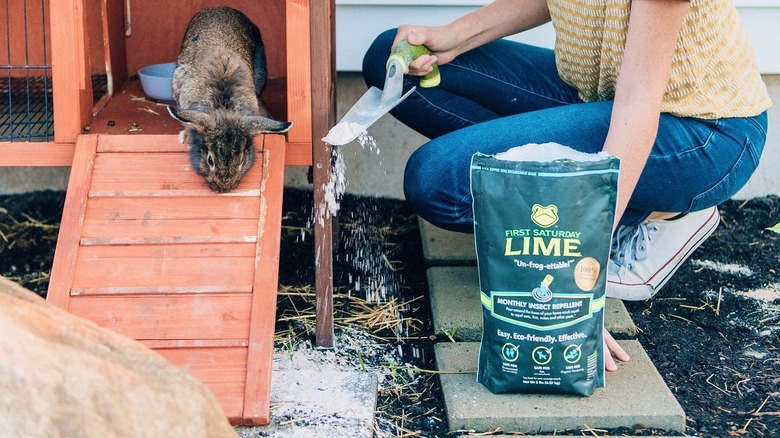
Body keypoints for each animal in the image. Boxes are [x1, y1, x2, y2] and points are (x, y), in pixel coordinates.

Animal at [168, 6, 292, 192]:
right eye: (210, 160)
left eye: (241, 160)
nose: (223, 189)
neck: (223, 105)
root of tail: (219, 8)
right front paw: (186, 137)